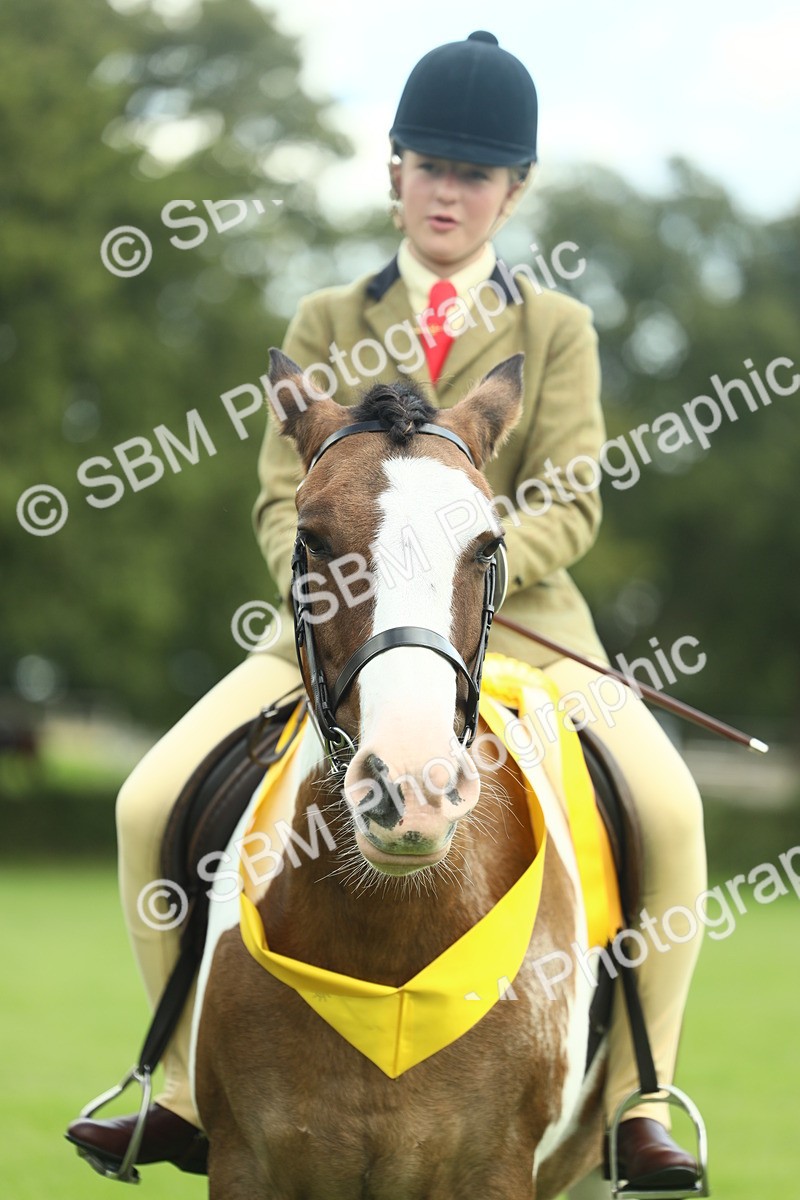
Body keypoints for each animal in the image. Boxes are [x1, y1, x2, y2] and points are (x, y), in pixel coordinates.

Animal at [191, 350, 609, 1199]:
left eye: (487, 545)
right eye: (312, 539)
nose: (412, 789)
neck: (387, 956)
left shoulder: (499, 1167)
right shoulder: (243, 1160)